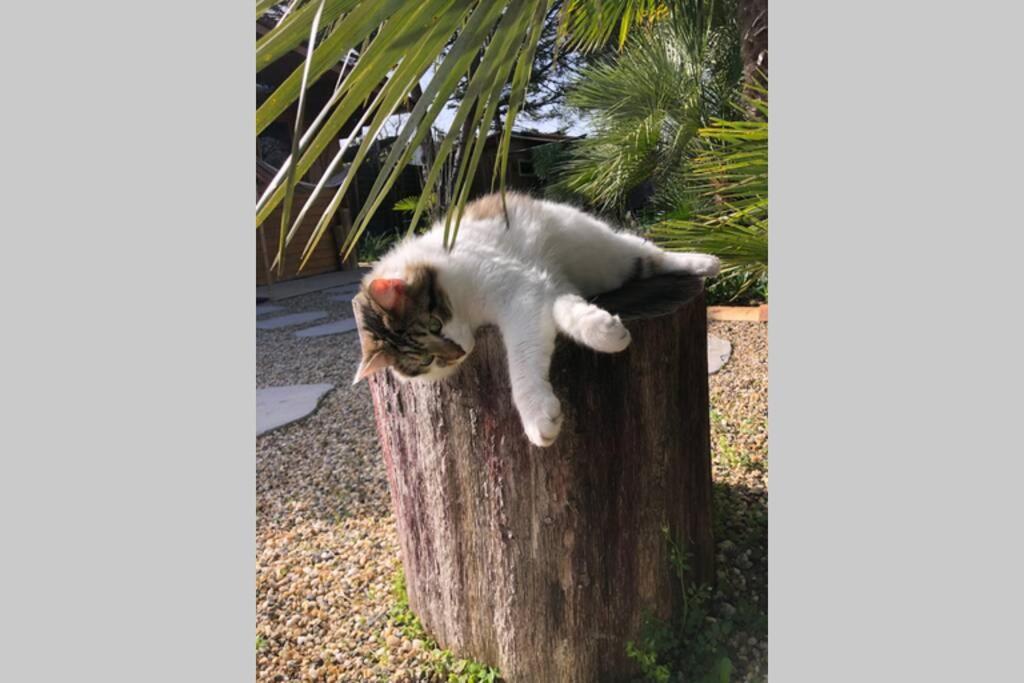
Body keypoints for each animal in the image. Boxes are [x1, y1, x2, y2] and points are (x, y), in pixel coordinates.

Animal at [352, 192, 720, 448]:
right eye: (426, 360)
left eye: (434, 325)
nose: (458, 353)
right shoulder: (533, 288)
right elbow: (556, 316)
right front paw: (601, 329)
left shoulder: (518, 291)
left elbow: (522, 357)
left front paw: (535, 415)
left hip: (598, 251)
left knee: (644, 253)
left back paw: (702, 261)